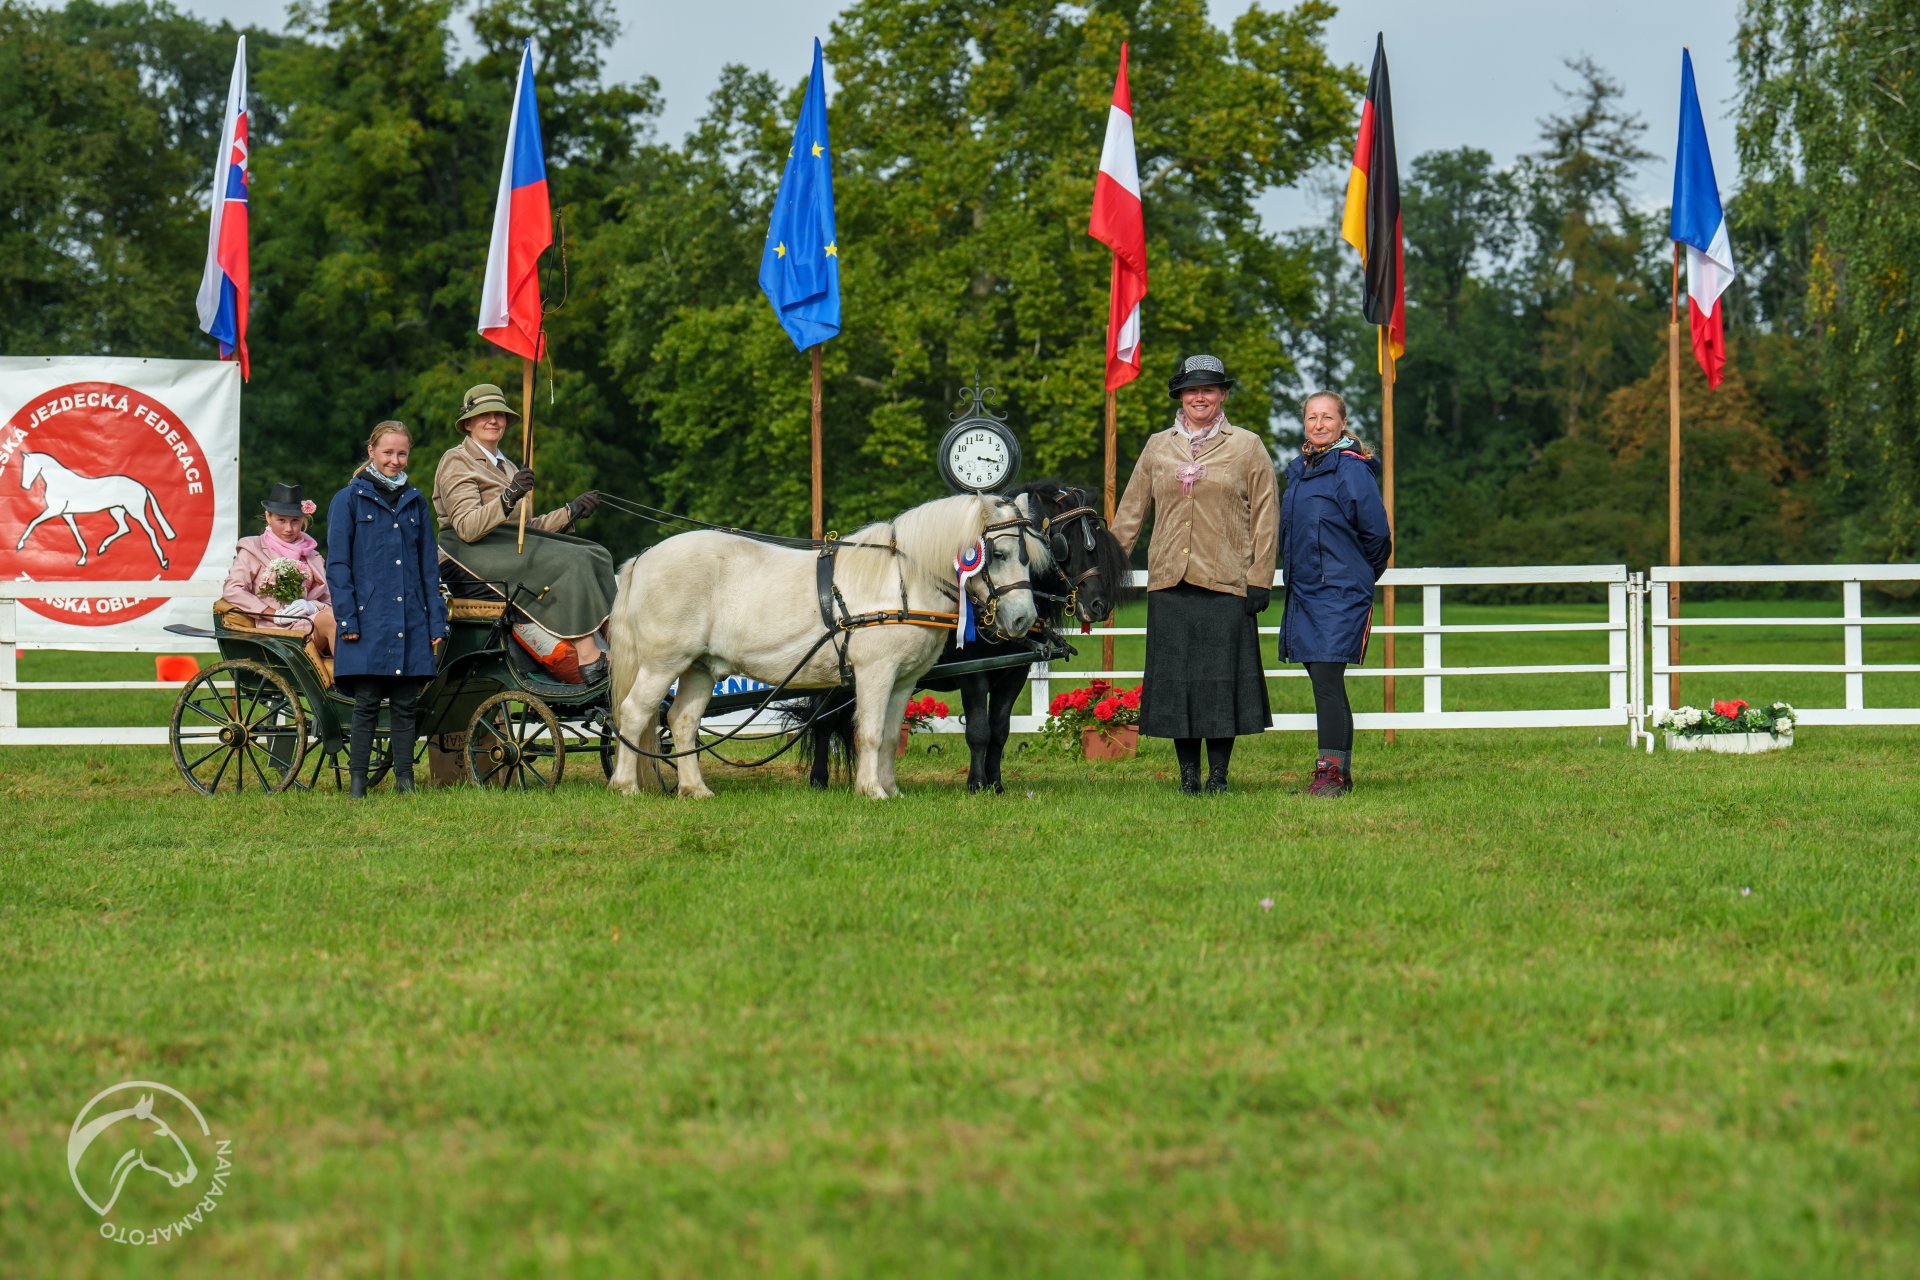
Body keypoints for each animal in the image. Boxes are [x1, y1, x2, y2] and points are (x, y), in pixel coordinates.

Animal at [17, 452, 176, 568]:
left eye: (29, 466)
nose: (25, 486)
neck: (60, 481)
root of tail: (143, 486)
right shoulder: (67, 514)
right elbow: (76, 533)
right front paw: (82, 559)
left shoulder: (55, 510)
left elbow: (33, 521)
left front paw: (19, 545)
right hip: (116, 510)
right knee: (124, 528)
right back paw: (102, 548)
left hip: (135, 512)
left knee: (150, 530)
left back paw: (163, 562)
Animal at [606, 495, 1052, 802]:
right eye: (998, 553)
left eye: (1029, 557)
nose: (1023, 620)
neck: (901, 581)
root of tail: (643, 558)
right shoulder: (875, 672)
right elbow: (869, 733)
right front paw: (871, 790)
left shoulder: (903, 681)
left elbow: (888, 736)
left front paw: (891, 789)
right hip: (663, 664)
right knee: (634, 713)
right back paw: (626, 785)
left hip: (699, 667)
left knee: (682, 721)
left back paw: (695, 789)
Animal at [791, 485, 1121, 794]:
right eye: (1065, 543)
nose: (1099, 604)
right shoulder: (973, 673)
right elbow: (978, 730)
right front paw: (976, 784)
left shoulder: (1014, 673)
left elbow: (999, 730)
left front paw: (995, 784)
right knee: (823, 720)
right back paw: (819, 779)